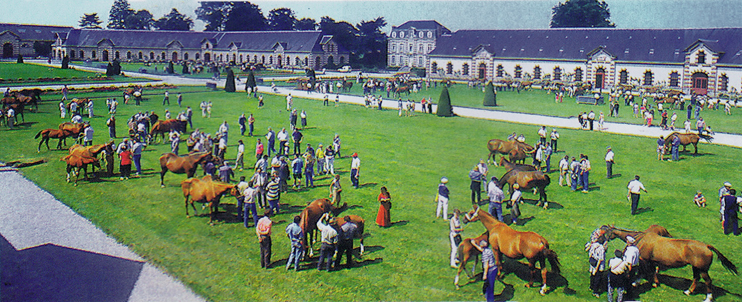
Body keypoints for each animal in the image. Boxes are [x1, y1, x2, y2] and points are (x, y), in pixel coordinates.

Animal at [608, 225, 740, 300]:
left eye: (605, 230)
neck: (643, 237)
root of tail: (707, 246)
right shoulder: (651, 260)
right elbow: (651, 271)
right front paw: (655, 282)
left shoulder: (644, 259)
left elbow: (642, 271)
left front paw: (636, 282)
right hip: (696, 267)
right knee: (696, 278)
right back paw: (688, 291)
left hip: (703, 269)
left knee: (708, 281)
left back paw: (708, 297)